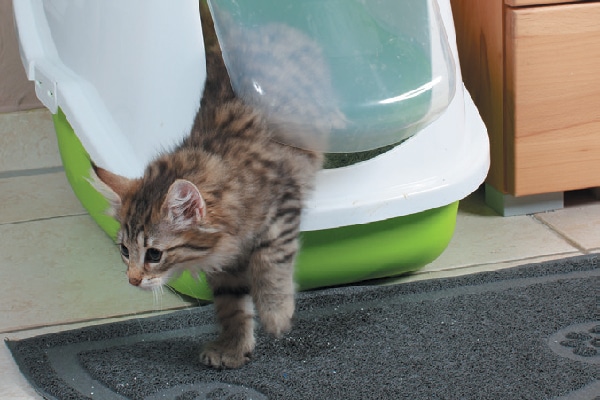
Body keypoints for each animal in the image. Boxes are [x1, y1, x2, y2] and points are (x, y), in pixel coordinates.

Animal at [91, 2, 340, 368]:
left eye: (154, 254)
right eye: (124, 250)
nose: (133, 280)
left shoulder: (283, 202)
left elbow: (271, 261)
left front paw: (276, 312)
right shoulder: (225, 266)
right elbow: (231, 305)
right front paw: (234, 348)